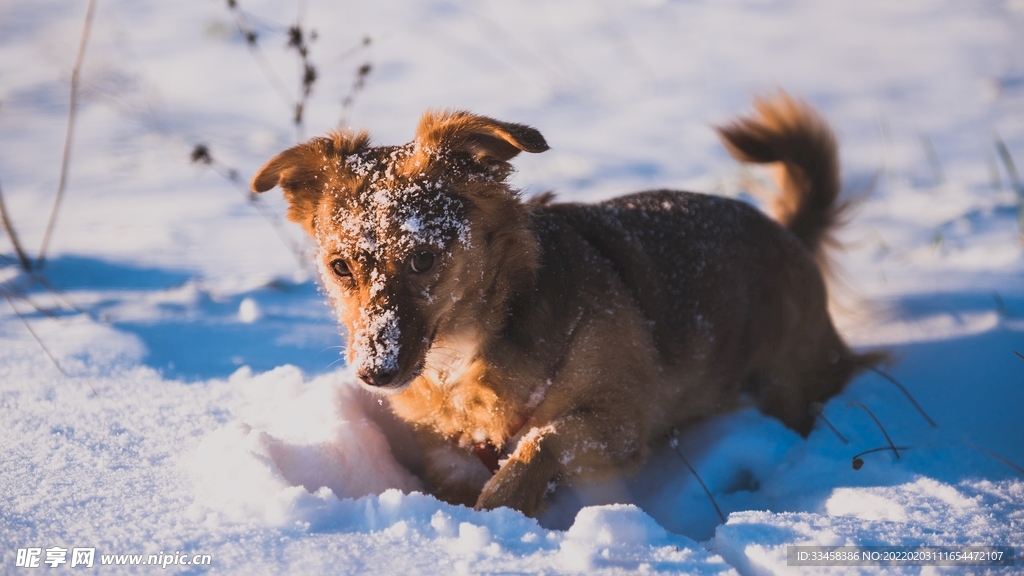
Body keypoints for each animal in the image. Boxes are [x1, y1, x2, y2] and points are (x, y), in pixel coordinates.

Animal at [251, 94, 884, 516]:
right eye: (340, 268)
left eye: (425, 259)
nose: (374, 374)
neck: (465, 353)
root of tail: (787, 234)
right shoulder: (444, 448)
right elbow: (459, 473)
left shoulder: (620, 419)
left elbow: (541, 442)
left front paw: (500, 513)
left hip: (793, 381)